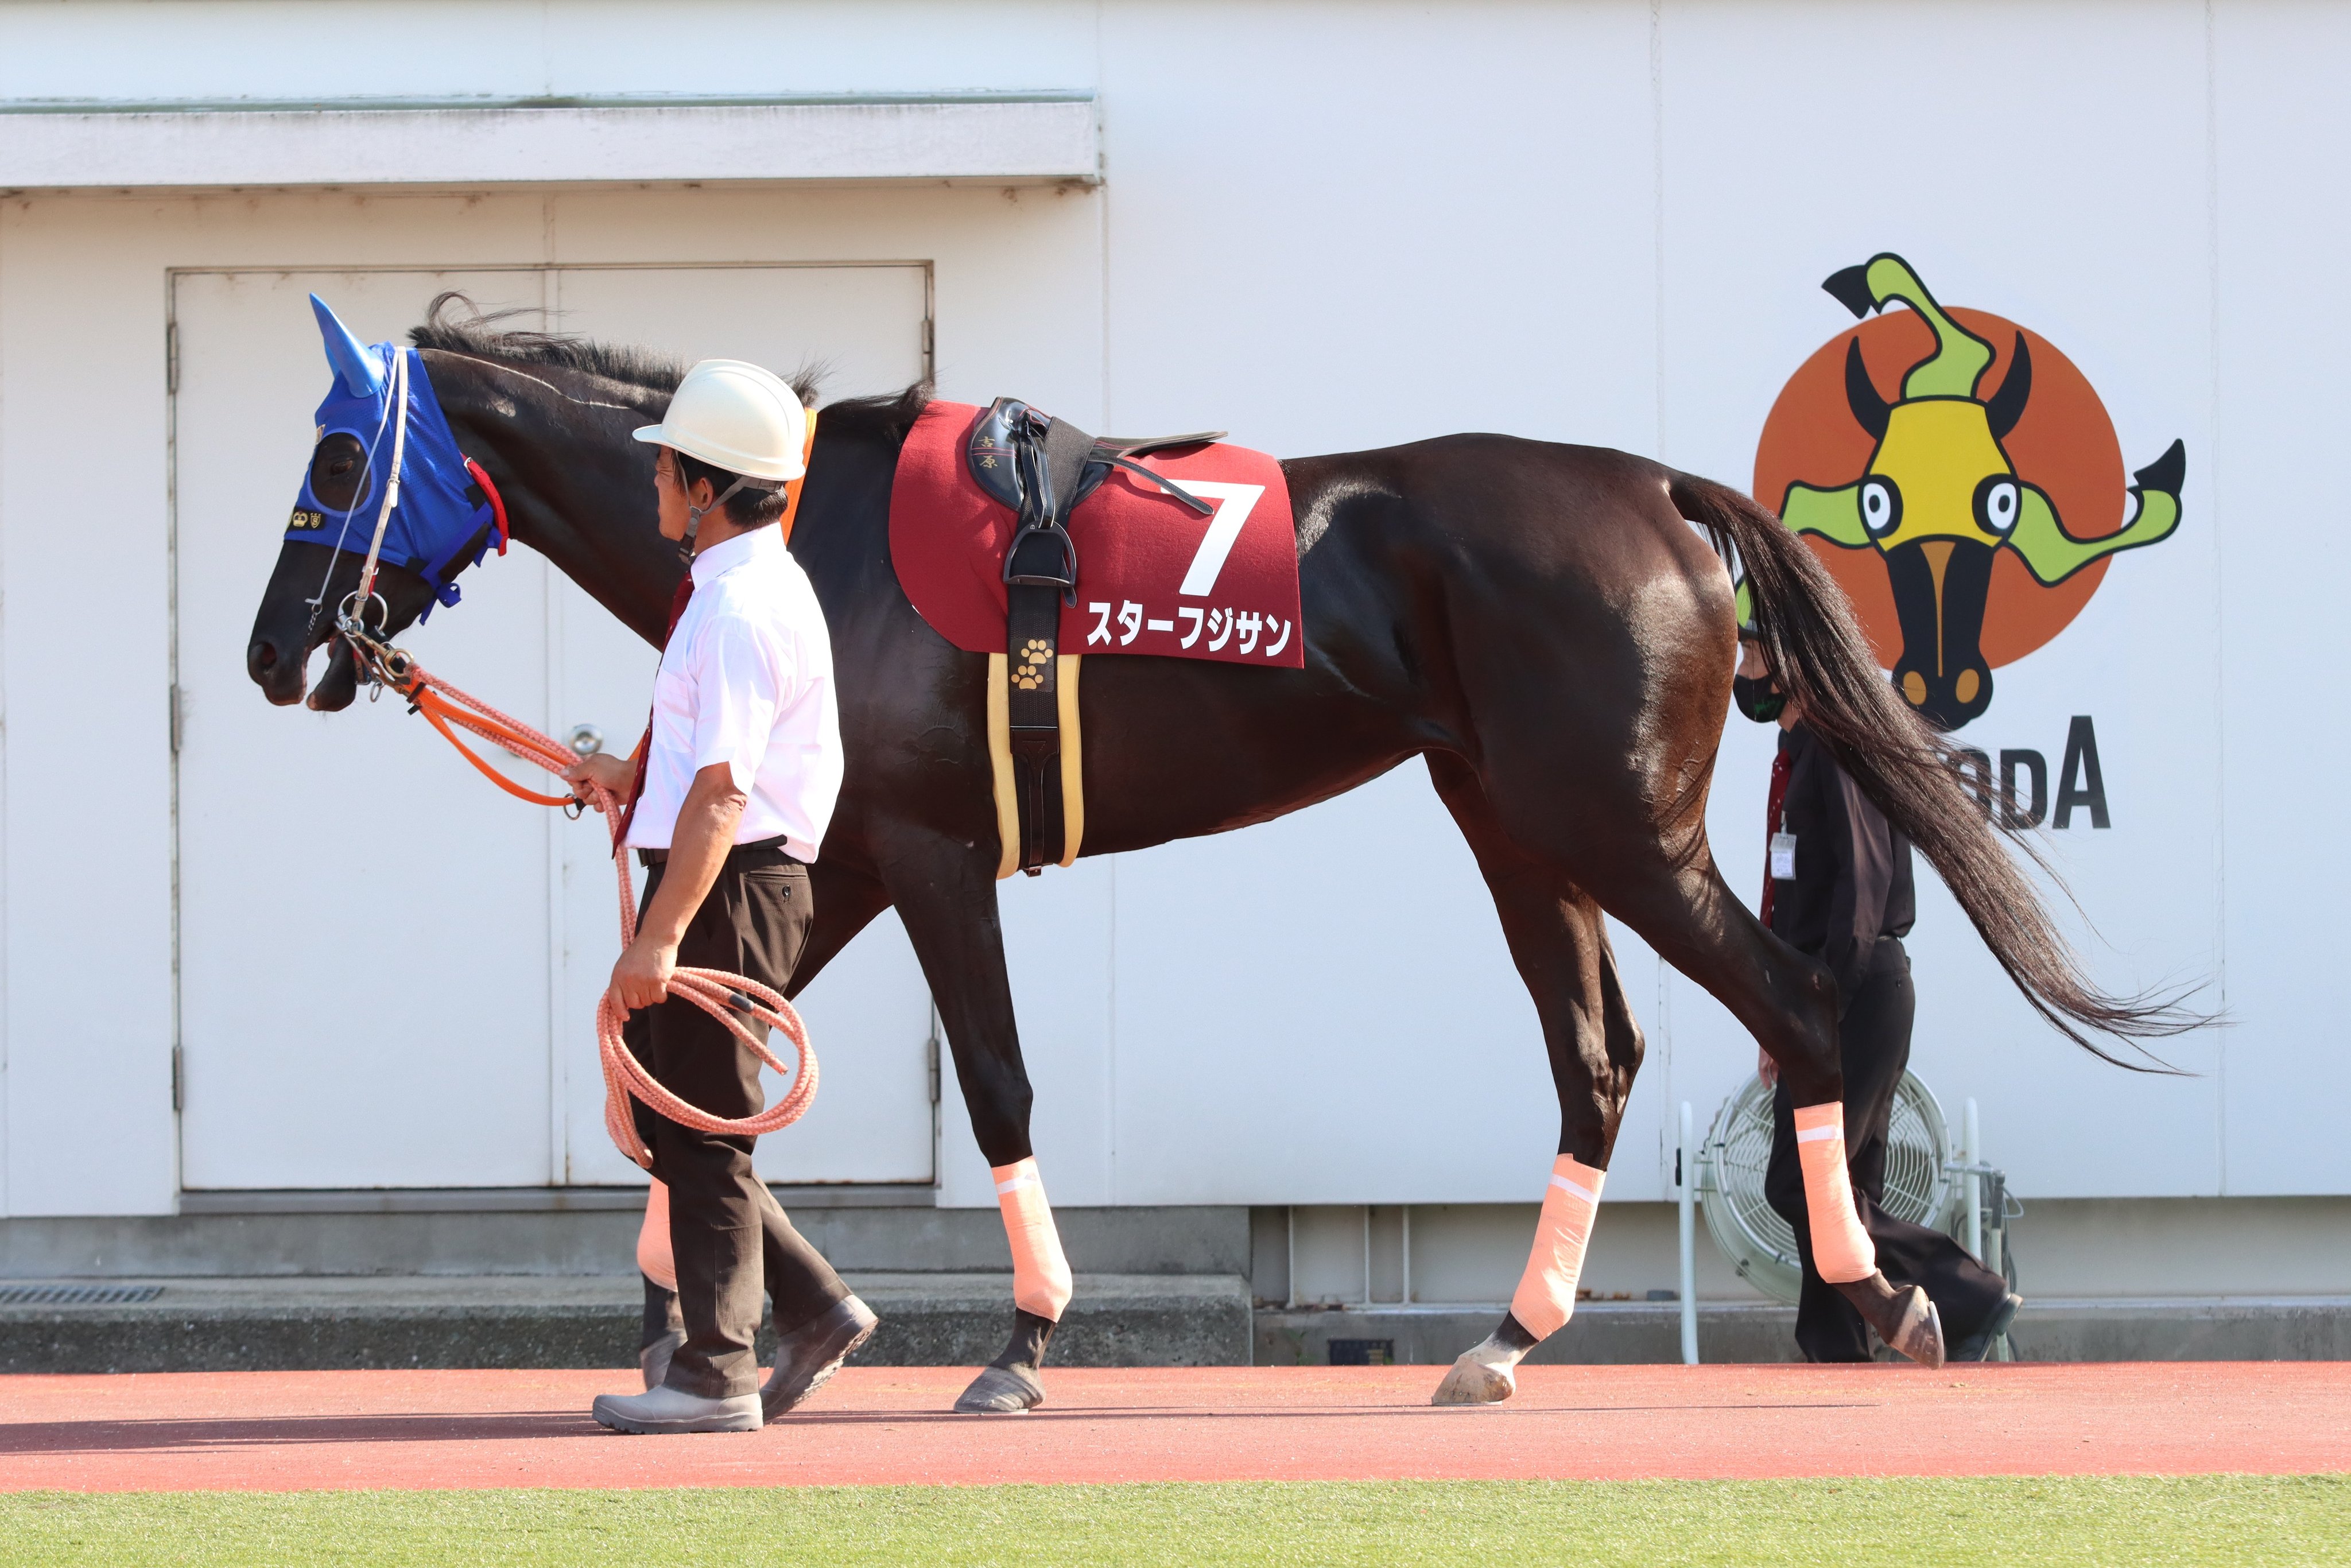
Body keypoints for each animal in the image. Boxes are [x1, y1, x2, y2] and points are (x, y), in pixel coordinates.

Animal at [243, 303, 2182, 1410]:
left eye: (334, 460)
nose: (277, 652)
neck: (803, 529)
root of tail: (1659, 493)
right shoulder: (842, 855)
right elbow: (682, 1059)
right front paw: (732, 1321)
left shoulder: (935, 855)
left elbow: (995, 1087)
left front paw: (1017, 1344)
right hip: (1515, 818)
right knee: (1601, 1057)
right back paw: (1511, 1334)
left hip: (1614, 822)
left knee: (1795, 1006)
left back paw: (1877, 1294)